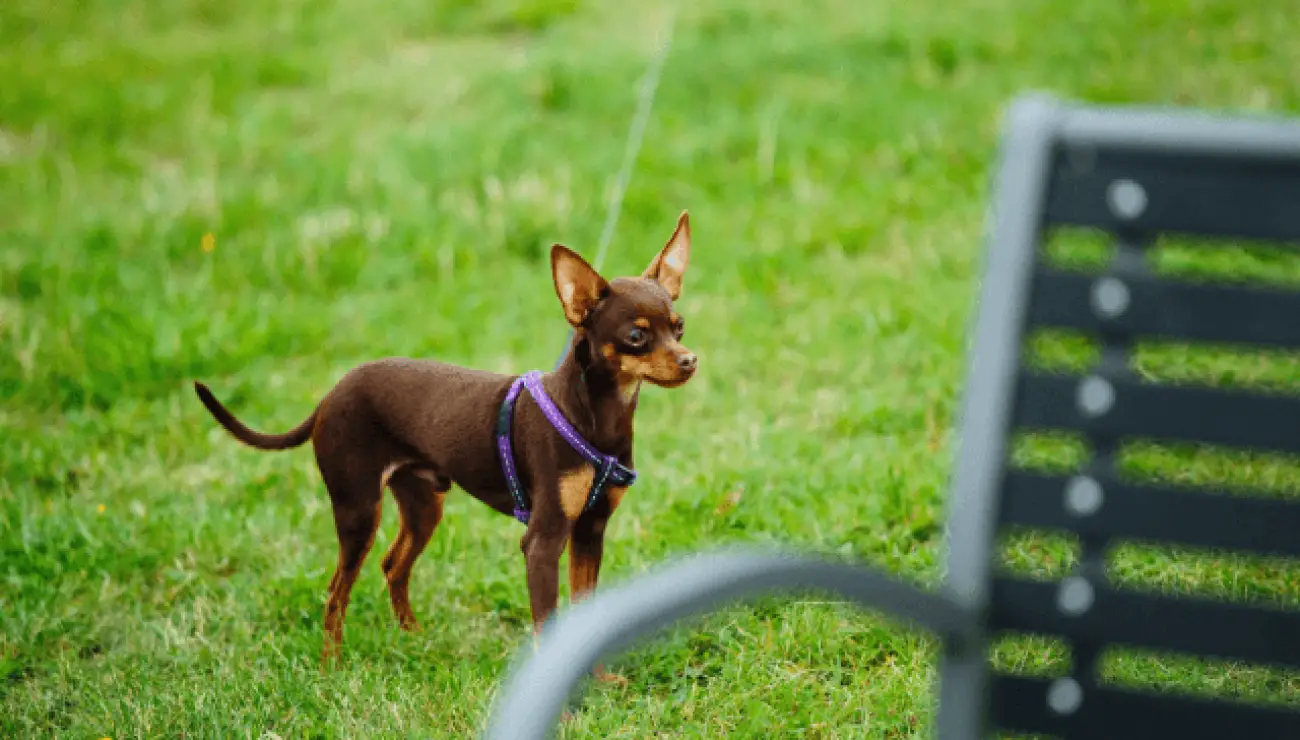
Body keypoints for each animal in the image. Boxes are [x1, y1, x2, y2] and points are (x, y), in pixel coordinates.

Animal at [191, 211, 696, 663]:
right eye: (636, 336)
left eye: (679, 327)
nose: (690, 360)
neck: (596, 417)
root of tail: (331, 395)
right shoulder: (543, 541)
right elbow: (548, 622)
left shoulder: (590, 532)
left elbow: (583, 610)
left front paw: (599, 680)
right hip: (358, 510)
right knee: (337, 591)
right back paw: (330, 665)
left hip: (423, 504)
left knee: (392, 565)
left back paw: (413, 637)